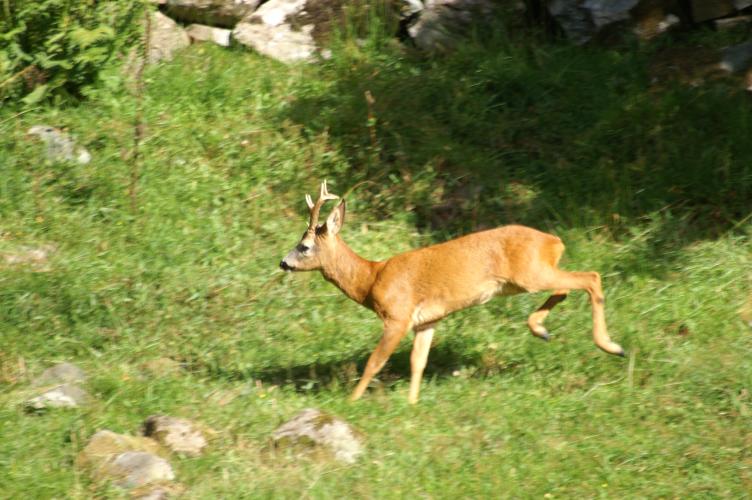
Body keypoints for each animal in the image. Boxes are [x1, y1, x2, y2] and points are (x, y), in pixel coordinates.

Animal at [280, 181, 625, 404]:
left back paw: (612, 346)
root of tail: (554, 241)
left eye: (304, 246)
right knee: (568, 286)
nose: (283, 262)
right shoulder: (426, 321)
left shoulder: (397, 315)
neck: (371, 278)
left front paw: (351, 402)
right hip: (531, 276)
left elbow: (375, 362)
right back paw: (541, 329)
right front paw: (413, 403)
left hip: (531, 273)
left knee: (591, 278)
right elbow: (418, 361)